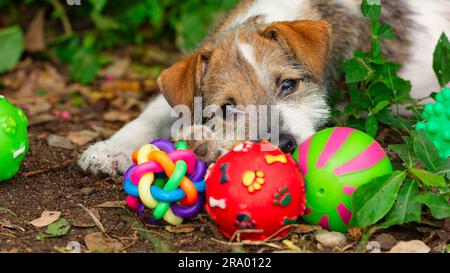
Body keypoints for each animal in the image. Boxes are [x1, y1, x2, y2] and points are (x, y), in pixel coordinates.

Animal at [78, 0, 450, 175]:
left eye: (288, 84)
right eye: (229, 107)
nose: (282, 144)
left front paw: (209, 144)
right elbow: (152, 113)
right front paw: (109, 149)